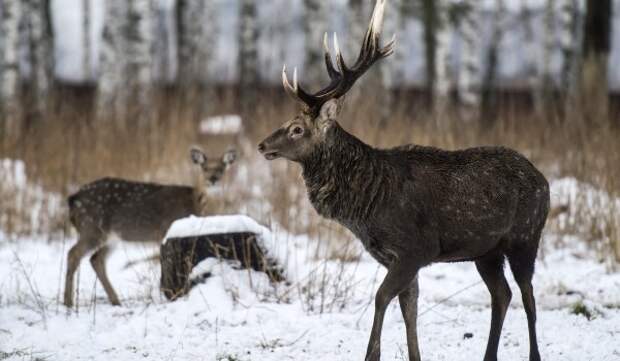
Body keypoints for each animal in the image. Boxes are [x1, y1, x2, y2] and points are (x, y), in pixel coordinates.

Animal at [64, 148, 236, 306]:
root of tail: (73, 199)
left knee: (95, 259)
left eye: (221, 169)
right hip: (91, 227)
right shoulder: (166, 229)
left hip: (111, 236)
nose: (213, 179)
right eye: (205, 168)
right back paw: (68, 302)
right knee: (73, 254)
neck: (194, 203)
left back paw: (115, 301)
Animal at [256, 0, 548, 360]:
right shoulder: (394, 257)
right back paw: (489, 354)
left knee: (528, 296)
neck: (367, 206)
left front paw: (371, 353)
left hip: (526, 237)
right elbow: (410, 306)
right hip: (487, 251)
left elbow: (382, 297)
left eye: (297, 129)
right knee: (502, 294)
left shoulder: (416, 249)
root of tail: (545, 181)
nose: (262, 145)